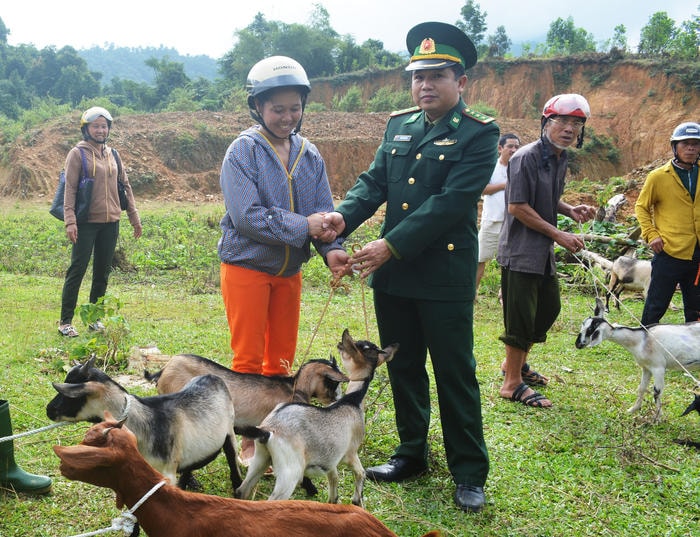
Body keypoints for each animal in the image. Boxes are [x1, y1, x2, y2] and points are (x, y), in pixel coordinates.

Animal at [237, 326, 396, 506]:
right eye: (361, 346)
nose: (340, 343)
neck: (352, 401)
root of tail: (268, 431)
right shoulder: (351, 452)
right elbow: (360, 473)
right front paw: (357, 501)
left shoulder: (331, 460)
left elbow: (334, 479)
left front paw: (333, 501)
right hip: (290, 472)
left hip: (260, 458)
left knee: (242, 490)